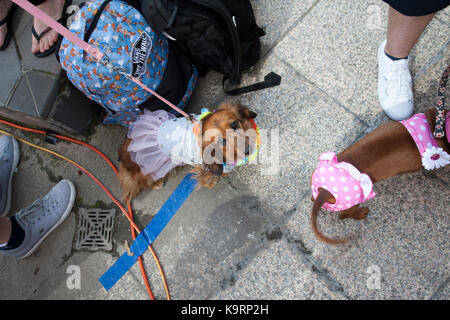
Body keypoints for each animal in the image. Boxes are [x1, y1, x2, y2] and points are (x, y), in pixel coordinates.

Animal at [118, 102, 260, 200]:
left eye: (234, 124)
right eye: (221, 141)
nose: (248, 150)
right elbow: (213, 175)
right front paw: (213, 181)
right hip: (146, 167)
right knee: (142, 181)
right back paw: (157, 183)